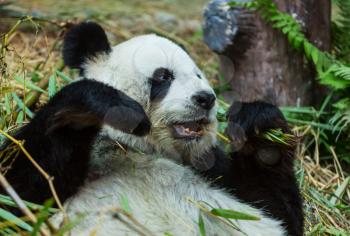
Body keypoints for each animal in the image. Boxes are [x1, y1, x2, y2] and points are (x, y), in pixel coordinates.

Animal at [0, 22, 302, 236]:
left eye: (198, 75)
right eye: (164, 76)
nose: (206, 98)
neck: (141, 147)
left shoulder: (214, 170)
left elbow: (276, 214)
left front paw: (259, 124)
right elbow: (19, 199)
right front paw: (100, 103)